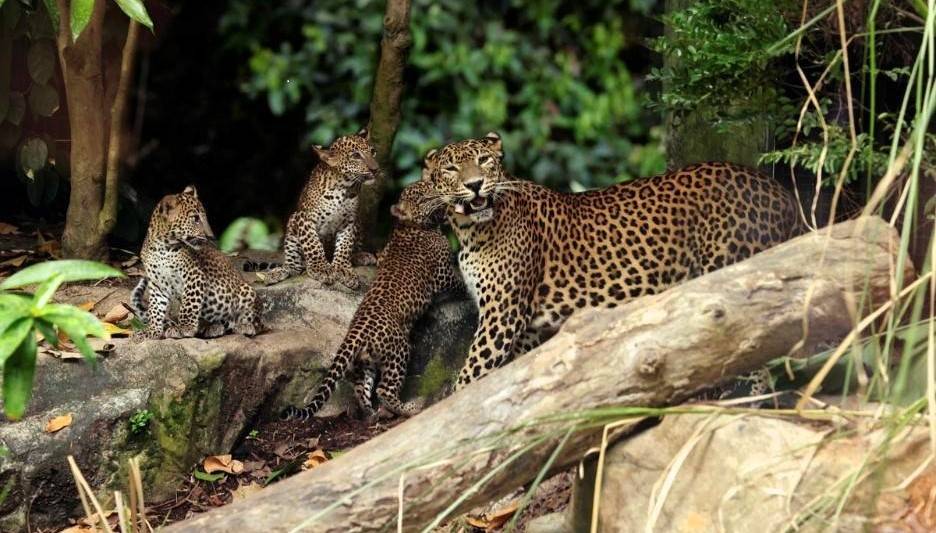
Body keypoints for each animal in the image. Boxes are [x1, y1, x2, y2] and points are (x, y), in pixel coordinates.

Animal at [130, 186, 263, 340]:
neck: (162, 247)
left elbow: (189, 304)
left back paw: (245, 326)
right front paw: (151, 331)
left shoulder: (194, 275)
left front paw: (184, 327)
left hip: (246, 292)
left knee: (255, 321)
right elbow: (155, 309)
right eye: (195, 219)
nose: (211, 237)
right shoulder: (158, 283)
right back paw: (213, 327)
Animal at [264, 128, 380, 290]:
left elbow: (345, 246)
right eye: (356, 156)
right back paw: (276, 273)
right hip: (292, 224)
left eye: (373, 152)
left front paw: (343, 270)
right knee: (294, 267)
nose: (375, 169)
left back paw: (361, 256)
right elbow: (313, 245)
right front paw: (321, 269)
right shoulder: (305, 219)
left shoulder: (349, 222)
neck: (344, 188)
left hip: (359, 224)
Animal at [282, 179, 462, 421]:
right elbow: (459, 282)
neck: (408, 226)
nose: (441, 193)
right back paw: (409, 408)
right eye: (424, 197)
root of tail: (356, 331)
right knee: (384, 390)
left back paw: (372, 414)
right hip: (399, 350)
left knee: (362, 390)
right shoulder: (443, 274)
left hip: (363, 362)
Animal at [420, 132, 800, 390]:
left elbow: (470, 379)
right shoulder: (525, 328)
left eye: (484, 160)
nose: (475, 184)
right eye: (452, 168)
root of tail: (779, 191)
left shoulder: (502, 316)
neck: (471, 231)